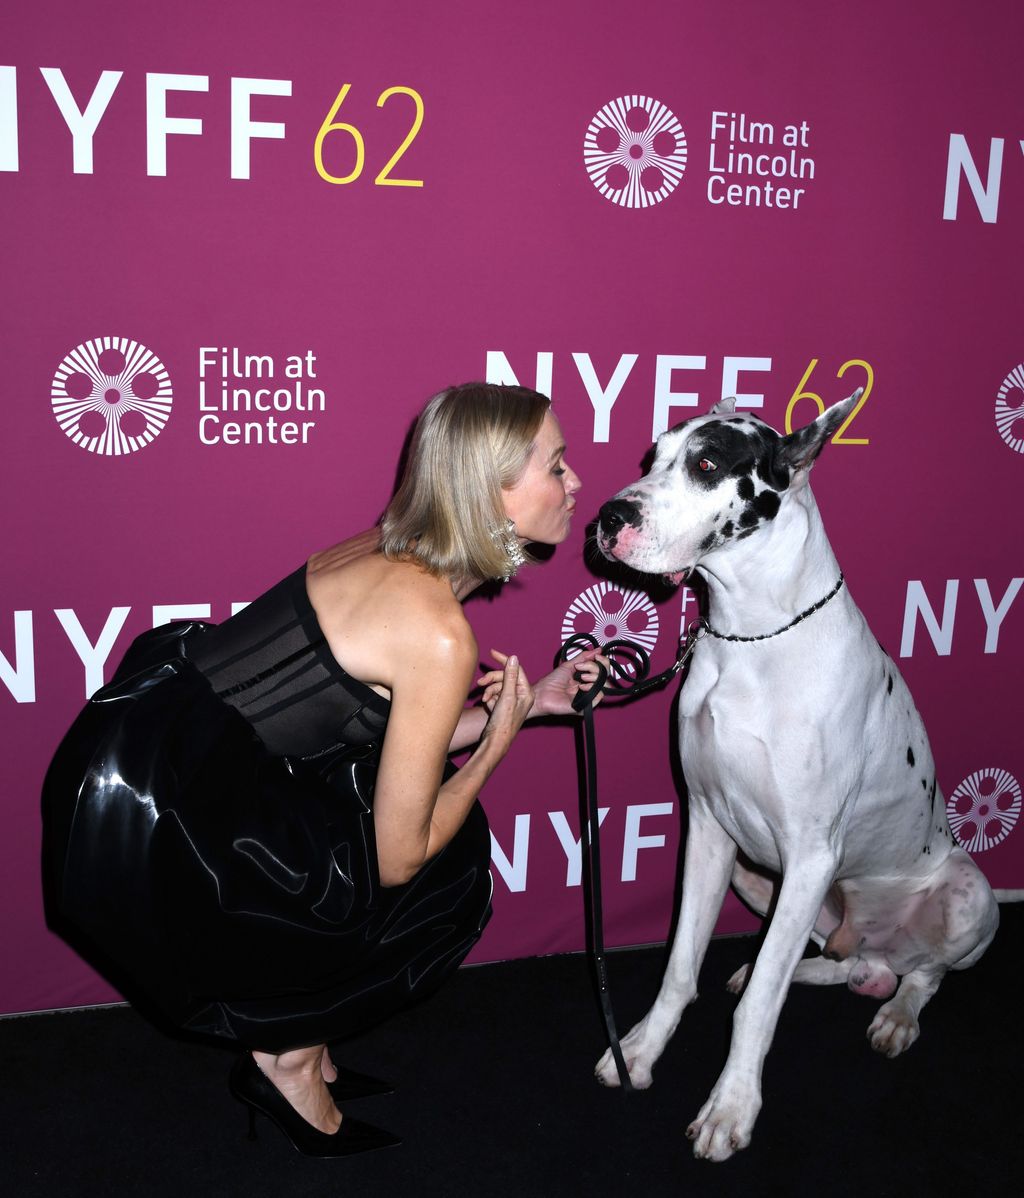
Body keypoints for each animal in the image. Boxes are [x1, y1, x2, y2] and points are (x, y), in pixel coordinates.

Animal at [591, 392, 1001, 1159]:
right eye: (652, 457)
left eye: (708, 464)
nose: (608, 518)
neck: (749, 635)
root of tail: (878, 951)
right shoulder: (708, 828)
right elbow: (679, 966)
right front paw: (641, 1049)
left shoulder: (811, 855)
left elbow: (758, 1011)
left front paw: (730, 1106)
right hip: (761, 879)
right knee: (832, 962)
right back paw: (788, 965)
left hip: (968, 893)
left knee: (926, 974)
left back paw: (897, 1013)